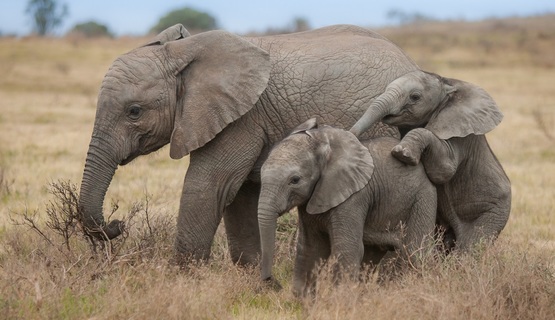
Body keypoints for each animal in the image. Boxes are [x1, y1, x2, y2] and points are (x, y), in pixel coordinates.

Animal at [77, 23, 416, 264]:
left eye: (134, 112)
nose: (118, 224)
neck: (182, 51)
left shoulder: (242, 118)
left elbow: (210, 186)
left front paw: (183, 280)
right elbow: (238, 196)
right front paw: (254, 280)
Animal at [260, 118, 438, 298]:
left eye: (295, 180)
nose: (272, 282)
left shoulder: (353, 198)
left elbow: (346, 249)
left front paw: (340, 298)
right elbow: (311, 248)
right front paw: (303, 301)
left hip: (422, 200)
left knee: (414, 251)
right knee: (371, 255)